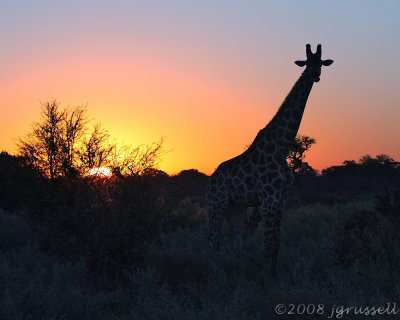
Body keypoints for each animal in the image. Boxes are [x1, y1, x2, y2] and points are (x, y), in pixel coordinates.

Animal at [205, 43, 332, 276]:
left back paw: (235, 272)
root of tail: (209, 182)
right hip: (216, 205)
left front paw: (274, 276)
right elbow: (268, 244)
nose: (315, 75)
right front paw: (268, 279)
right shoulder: (270, 196)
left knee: (234, 243)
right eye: (307, 62)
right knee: (213, 242)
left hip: (235, 208)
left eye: (320, 63)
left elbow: (276, 244)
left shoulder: (282, 197)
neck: (282, 146)